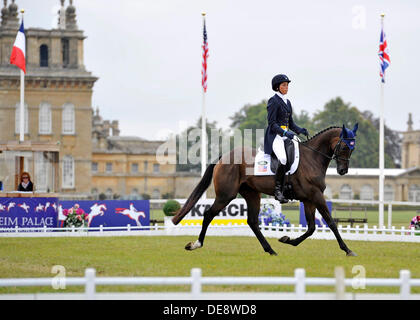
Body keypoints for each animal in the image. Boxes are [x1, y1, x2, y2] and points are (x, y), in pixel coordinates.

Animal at [172, 125, 360, 258]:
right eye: (344, 147)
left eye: (353, 149)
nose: (343, 171)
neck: (312, 158)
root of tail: (224, 157)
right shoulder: (316, 196)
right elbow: (331, 223)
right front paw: (348, 250)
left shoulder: (309, 199)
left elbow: (312, 228)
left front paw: (288, 240)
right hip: (226, 195)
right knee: (209, 214)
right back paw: (195, 244)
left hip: (252, 194)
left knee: (253, 221)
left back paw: (270, 250)